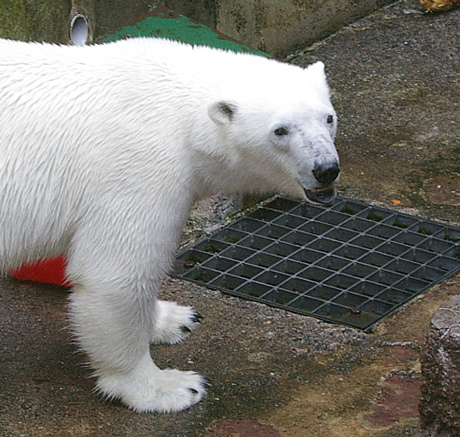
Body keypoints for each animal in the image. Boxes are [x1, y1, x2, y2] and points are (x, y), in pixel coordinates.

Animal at [0, 37, 338, 412]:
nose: (326, 169)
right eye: (280, 130)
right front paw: (167, 387)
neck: (178, 113)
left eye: (328, 117)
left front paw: (172, 320)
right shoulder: (138, 168)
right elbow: (117, 275)